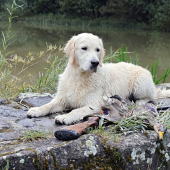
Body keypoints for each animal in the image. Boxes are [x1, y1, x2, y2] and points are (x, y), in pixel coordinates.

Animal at [26, 32, 170, 125]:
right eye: (84, 48)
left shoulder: (95, 104)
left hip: (140, 84)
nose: (95, 63)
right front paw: (36, 110)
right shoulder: (62, 99)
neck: (80, 77)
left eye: (98, 50)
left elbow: (78, 110)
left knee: (150, 97)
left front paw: (65, 117)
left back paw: (140, 102)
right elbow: (48, 105)